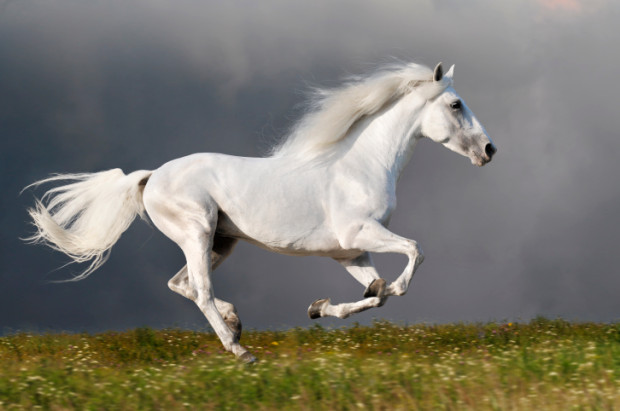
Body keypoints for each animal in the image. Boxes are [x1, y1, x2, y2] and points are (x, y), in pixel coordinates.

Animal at [26, 62, 496, 362]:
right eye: (455, 105)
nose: (490, 150)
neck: (359, 164)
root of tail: (151, 176)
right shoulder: (360, 234)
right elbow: (413, 254)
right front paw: (387, 288)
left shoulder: (349, 252)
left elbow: (374, 294)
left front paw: (320, 308)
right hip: (197, 233)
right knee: (199, 289)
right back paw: (240, 350)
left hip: (221, 242)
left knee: (182, 284)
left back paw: (235, 323)